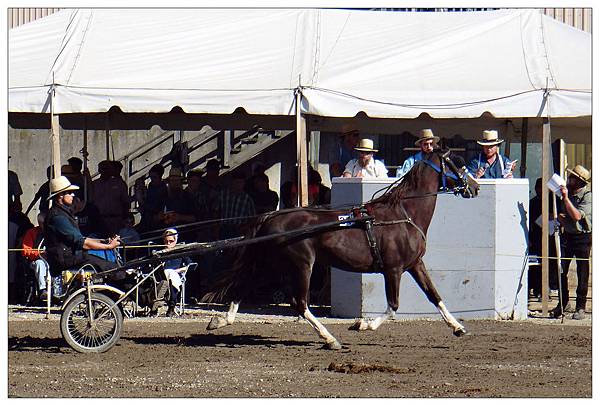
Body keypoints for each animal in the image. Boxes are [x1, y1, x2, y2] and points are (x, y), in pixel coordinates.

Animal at [205, 149, 478, 348]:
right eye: (458, 162)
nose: (474, 186)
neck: (403, 215)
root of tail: (271, 217)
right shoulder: (394, 269)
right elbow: (393, 306)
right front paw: (363, 325)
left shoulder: (414, 264)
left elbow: (434, 295)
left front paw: (458, 327)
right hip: (300, 265)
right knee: (299, 302)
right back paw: (329, 338)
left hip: (272, 264)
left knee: (244, 286)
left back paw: (221, 320)